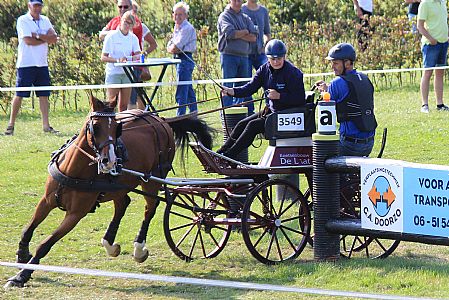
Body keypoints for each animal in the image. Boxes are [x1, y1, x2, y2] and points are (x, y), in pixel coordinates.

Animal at [4, 95, 212, 288]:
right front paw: (22, 255)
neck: (74, 170)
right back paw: (110, 243)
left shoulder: (75, 214)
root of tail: (161, 120)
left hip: (152, 178)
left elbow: (45, 244)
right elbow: (28, 229)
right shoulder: (47, 201)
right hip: (119, 186)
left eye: (117, 128)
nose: (110, 161)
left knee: (150, 208)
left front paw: (21, 276)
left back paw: (138, 248)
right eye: (95, 127)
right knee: (123, 204)